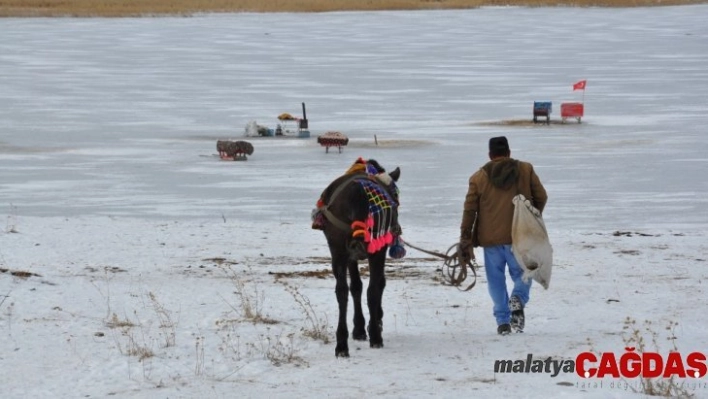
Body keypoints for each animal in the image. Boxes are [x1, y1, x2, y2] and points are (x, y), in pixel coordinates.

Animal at [312, 159, 402, 360]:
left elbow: (355, 287)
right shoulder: (378, 249)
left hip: (337, 249)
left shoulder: (349, 255)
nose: (397, 228)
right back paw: (375, 335)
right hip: (372, 249)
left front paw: (359, 328)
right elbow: (375, 285)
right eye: (396, 196)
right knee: (373, 289)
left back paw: (341, 344)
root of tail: (357, 192)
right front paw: (370, 324)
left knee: (342, 291)